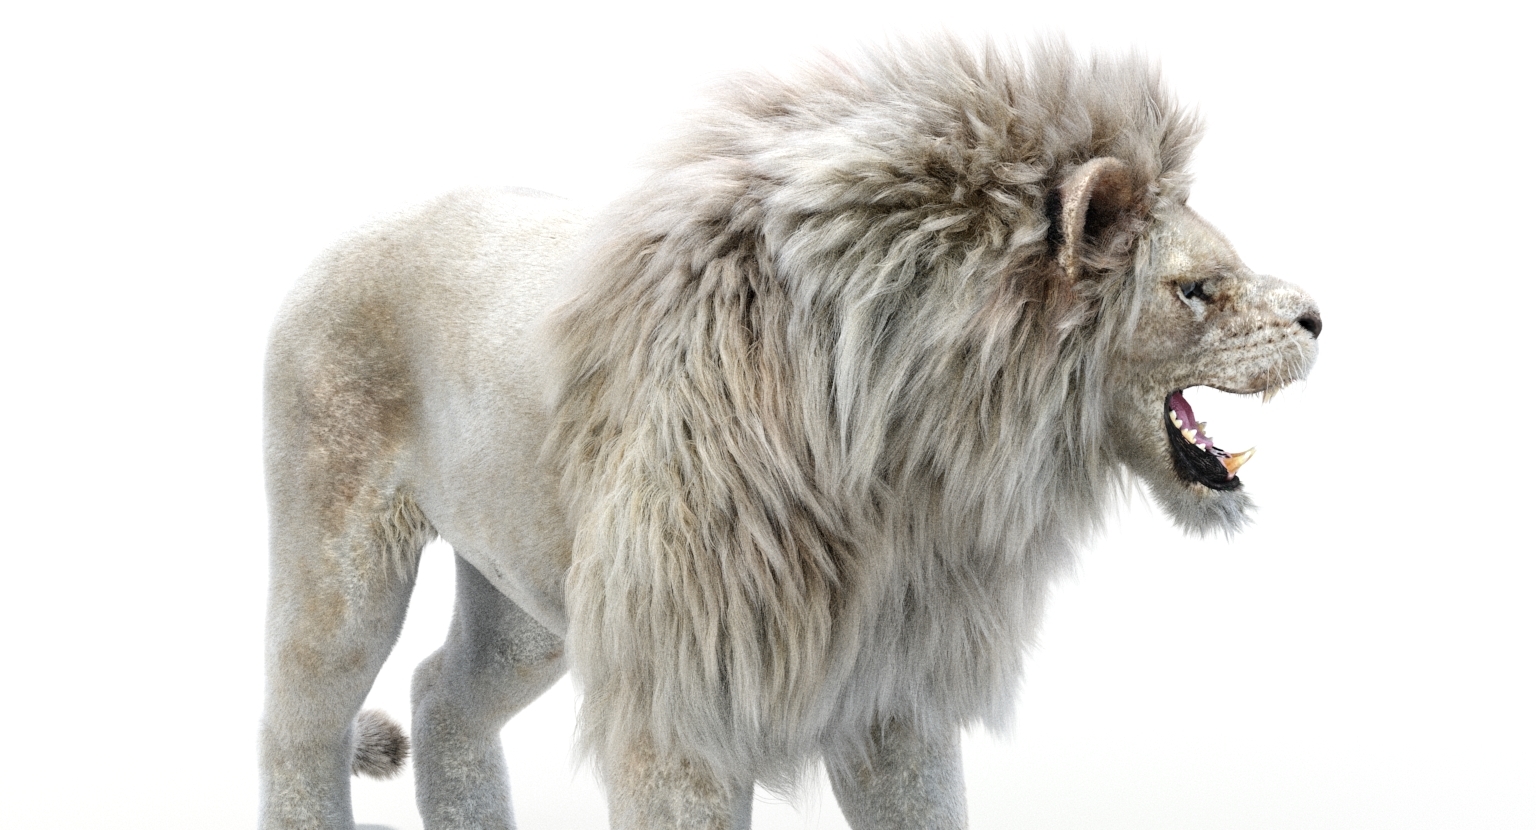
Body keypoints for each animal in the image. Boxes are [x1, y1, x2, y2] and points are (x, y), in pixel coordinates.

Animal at [260, 38, 1320, 829]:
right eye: (1197, 288)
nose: (1317, 318)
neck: (914, 460)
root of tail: (349, 233)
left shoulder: (894, 694)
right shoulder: (682, 706)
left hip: (526, 596)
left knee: (441, 699)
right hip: (343, 563)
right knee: (297, 727)